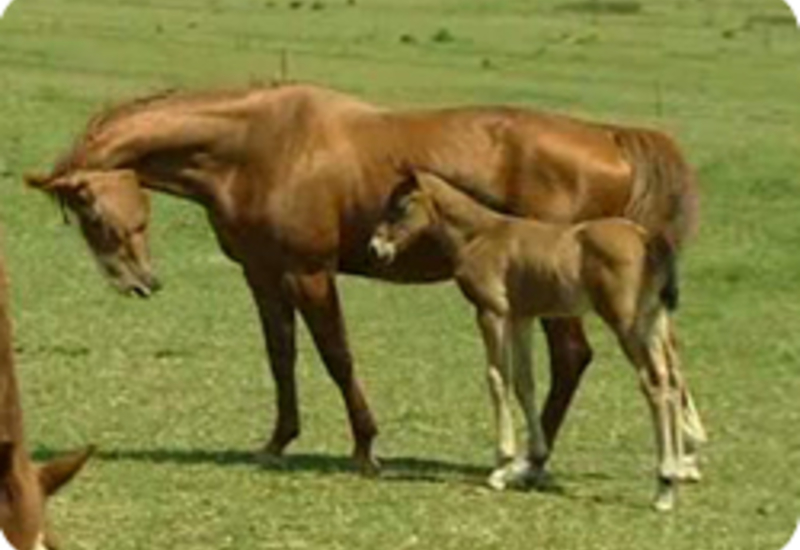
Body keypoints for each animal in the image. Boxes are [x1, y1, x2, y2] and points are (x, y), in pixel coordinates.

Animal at [370, 172, 708, 512]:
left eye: (401, 205)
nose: (376, 247)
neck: (480, 235)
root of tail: (644, 238)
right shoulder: (522, 317)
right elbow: (524, 382)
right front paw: (532, 458)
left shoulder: (491, 312)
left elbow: (497, 378)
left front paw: (501, 466)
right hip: (655, 321)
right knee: (673, 378)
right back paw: (679, 469)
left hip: (628, 324)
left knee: (655, 384)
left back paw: (665, 486)